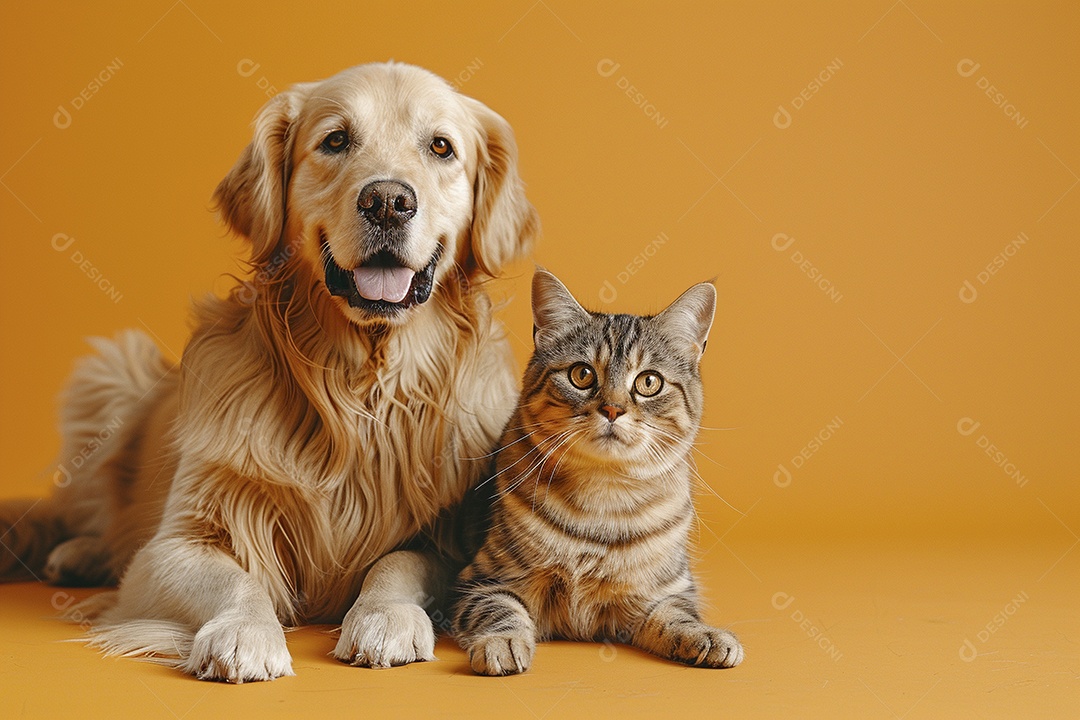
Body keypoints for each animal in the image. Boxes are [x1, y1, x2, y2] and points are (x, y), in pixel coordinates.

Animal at [0, 62, 540, 682]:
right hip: (109, 373)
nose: (387, 201)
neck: (360, 386)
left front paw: (385, 617)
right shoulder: (174, 544)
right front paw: (244, 632)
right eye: (336, 140)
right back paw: (80, 552)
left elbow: (399, 563)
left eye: (441, 147)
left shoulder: (452, 541)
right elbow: (235, 580)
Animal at [451, 268, 747, 677]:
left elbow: (677, 617)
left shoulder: (664, 591)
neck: (603, 501)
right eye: (582, 374)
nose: (612, 409)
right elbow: (501, 610)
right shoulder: (483, 578)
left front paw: (707, 636)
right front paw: (503, 643)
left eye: (649, 382)